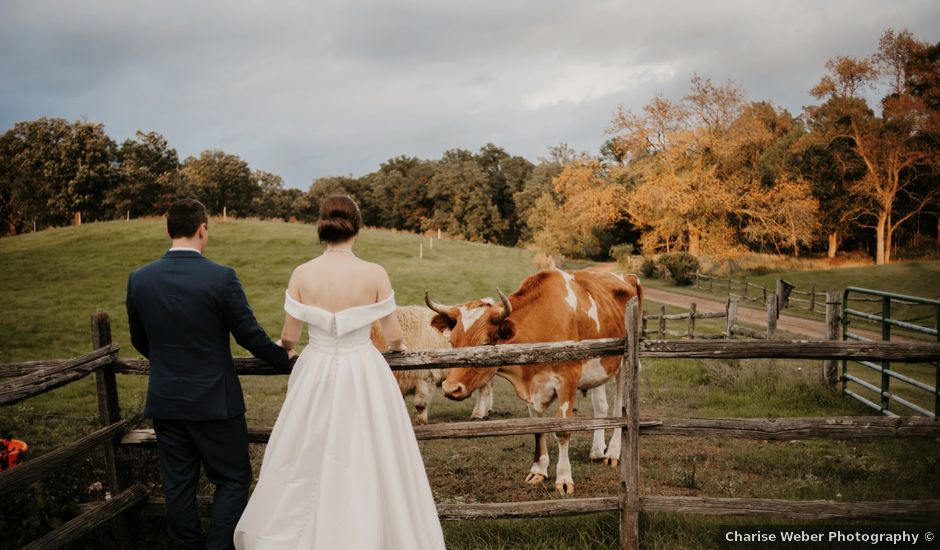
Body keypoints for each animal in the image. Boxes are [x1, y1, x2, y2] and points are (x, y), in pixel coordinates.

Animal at [428, 270, 644, 496]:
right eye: (452, 342)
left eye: (484, 343)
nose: (450, 388)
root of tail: (627, 275)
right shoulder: (533, 389)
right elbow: (537, 428)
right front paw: (538, 471)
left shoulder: (568, 379)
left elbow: (562, 431)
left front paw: (564, 479)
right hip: (600, 367)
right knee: (601, 407)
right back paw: (597, 452)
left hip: (624, 366)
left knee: (620, 410)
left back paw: (612, 454)